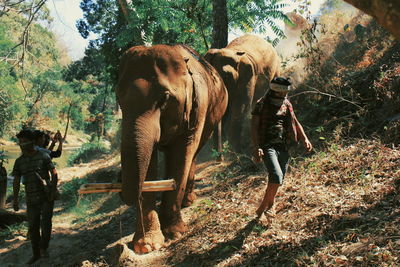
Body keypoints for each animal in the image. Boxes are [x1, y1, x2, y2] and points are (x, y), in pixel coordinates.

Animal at [115, 43, 228, 253]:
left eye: (165, 99)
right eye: (118, 99)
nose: (119, 178)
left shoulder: (197, 108)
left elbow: (181, 154)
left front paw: (175, 233)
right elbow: (148, 161)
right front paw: (146, 245)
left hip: (212, 117)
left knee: (193, 154)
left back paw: (187, 201)